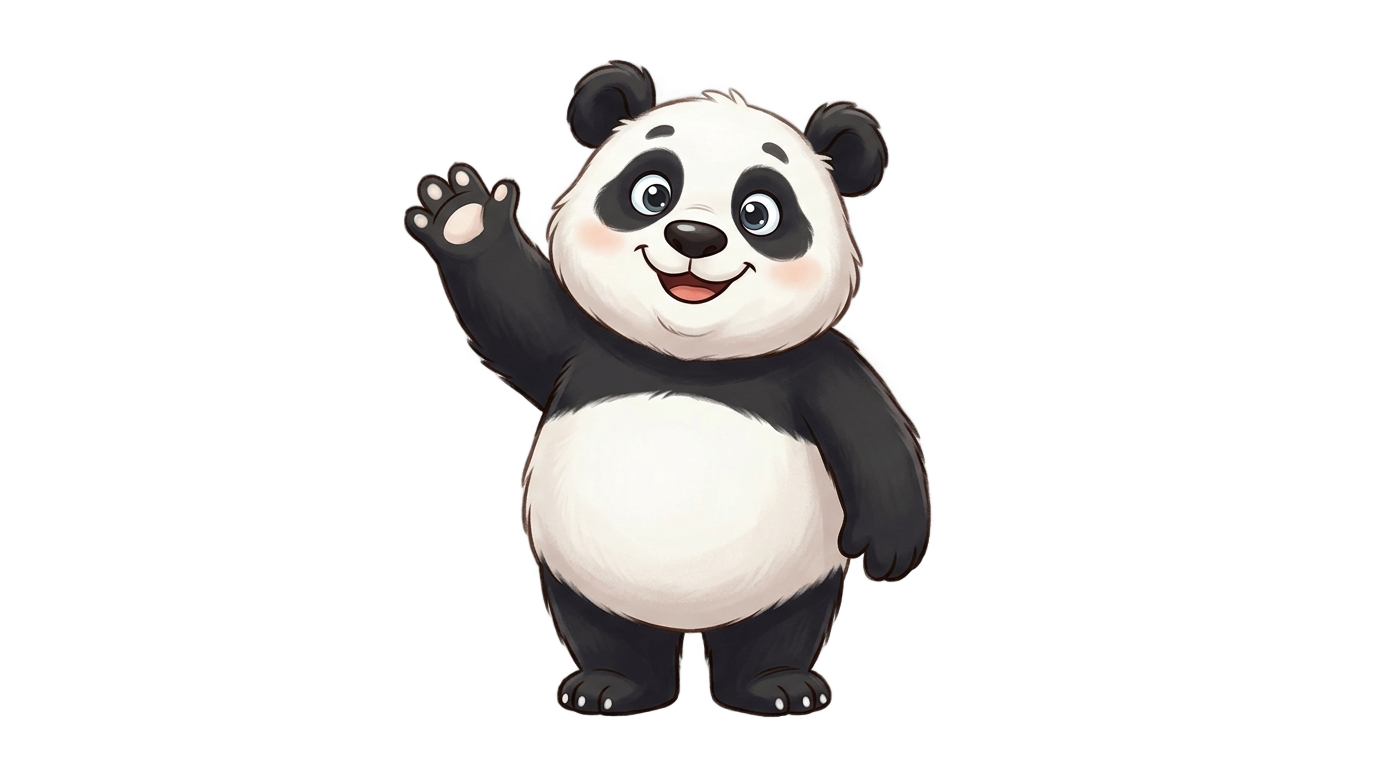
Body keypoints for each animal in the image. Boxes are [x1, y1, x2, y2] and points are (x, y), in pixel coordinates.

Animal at [403, 61, 929, 716]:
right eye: (652, 192)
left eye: (759, 211)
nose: (694, 236)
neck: (687, 361)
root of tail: (690, 624)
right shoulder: (583, 344)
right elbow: (514, 314)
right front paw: (464, 218)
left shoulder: (814, 365)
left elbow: (870, 429)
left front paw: (888, 546)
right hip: (584, 576)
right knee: (605, 630)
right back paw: (612, 687)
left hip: (792, 576)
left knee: (781, 627)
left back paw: (775, 687)